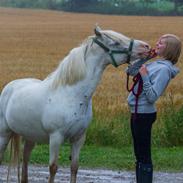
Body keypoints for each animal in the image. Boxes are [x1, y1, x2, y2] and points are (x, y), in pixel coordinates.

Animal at [0, 26, 150, 183]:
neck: (72, 95)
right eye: (115, 42)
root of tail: (10, 86)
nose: (146, 47)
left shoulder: (79, 138)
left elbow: (74, 167)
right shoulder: (56, 137)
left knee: (25, 158)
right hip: (4, 133)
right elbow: (53, 168)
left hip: (30, 136)